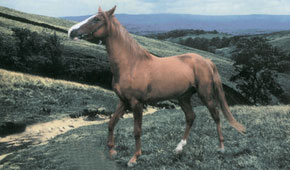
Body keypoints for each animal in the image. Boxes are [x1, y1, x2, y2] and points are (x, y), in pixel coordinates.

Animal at [68, 5, 245, 167]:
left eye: (97, 19)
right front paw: (112, 150)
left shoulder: (136, 103)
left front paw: (134, 158)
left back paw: (221, 148)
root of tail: (206, 61)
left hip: (205, 95)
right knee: (191, 117)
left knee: (216, 116)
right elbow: (111, 123)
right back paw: (179, 148)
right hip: (183, 97)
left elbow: (137, 131)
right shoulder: (123, 101)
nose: (71, 32)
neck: (131, 64)